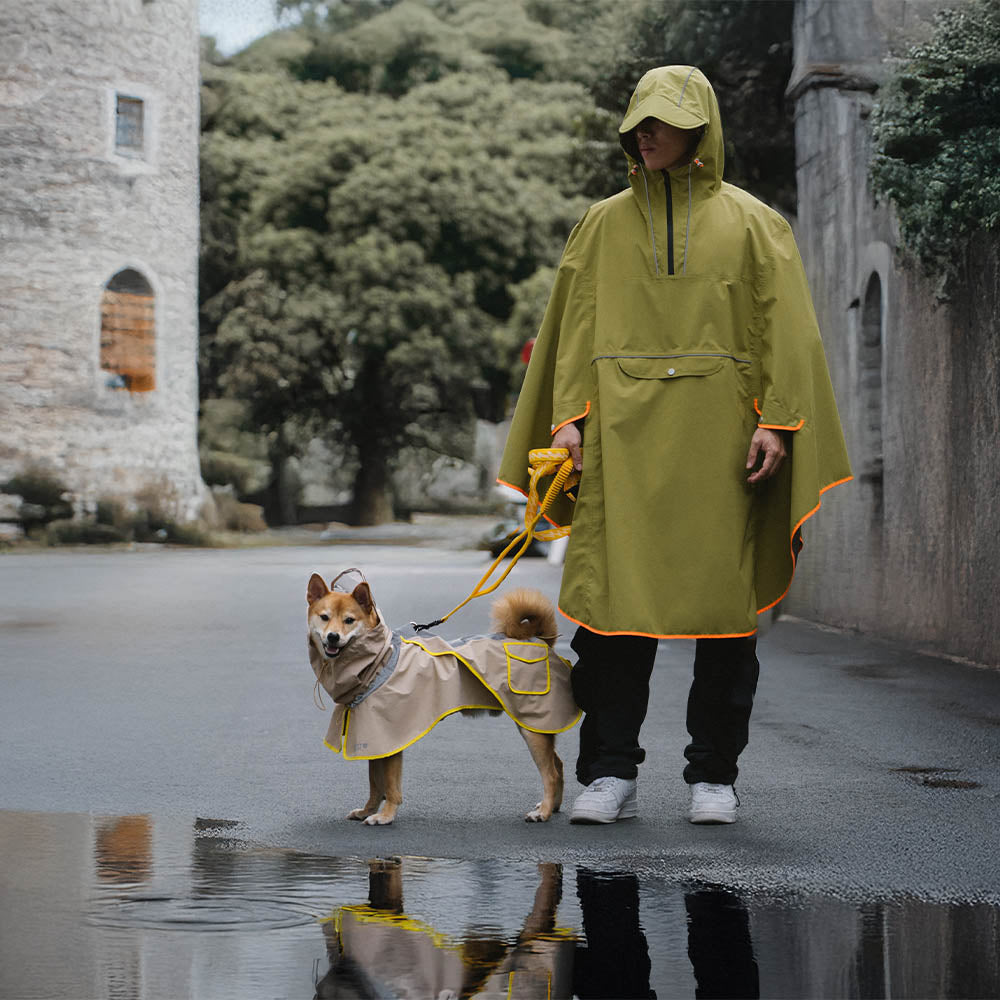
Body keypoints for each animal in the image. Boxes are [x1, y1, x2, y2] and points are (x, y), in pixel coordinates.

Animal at [304, 576, 580, 824]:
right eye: (324, 617)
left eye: (349, 620)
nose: (332, 637)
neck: (381, 657)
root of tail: (543, 642)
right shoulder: (375, 739)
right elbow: (374, 783)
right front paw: (367, 811)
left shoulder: (391, 739)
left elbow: (390, 786)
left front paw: (385, 816)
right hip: (538, 727)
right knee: (558, 766)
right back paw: (551, 807)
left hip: (532, 727)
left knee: (550, 774)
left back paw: (543, 813)